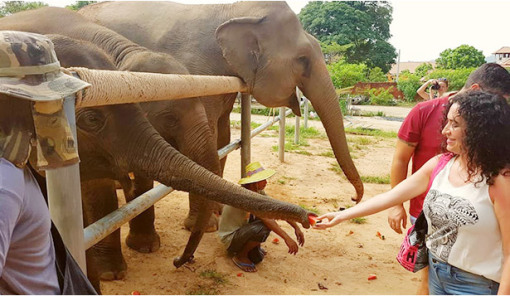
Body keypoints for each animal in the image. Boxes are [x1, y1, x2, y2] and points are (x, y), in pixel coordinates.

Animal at [79, 1, 364, 201]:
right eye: (303, 59)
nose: (352, 198)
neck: (235, 9)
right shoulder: (194, 74)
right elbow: (204, 139)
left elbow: (222, 136)